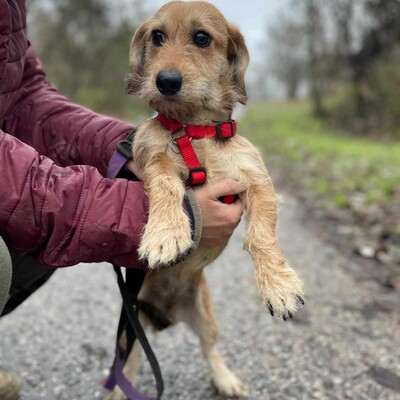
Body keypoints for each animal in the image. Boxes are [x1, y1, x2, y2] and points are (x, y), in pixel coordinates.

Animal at [108, 1, 304, 398]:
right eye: (157, 36)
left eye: (201, 37)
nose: (166, 81)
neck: (194, 129)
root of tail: (164, 313)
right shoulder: (153, 161)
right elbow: (168, 184)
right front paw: (166, 233)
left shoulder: (257, 181)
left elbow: (262, 235)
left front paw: (278, 284)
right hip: (130, 329)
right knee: (129, 365)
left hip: (205, 317)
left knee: (209, 347)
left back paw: (225, 379)